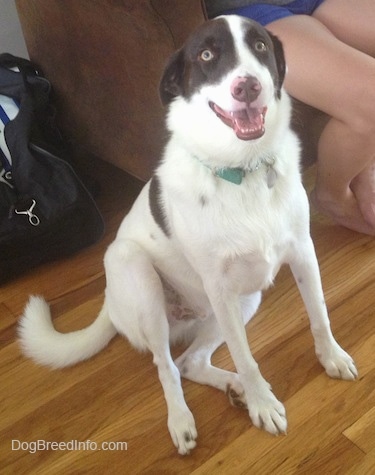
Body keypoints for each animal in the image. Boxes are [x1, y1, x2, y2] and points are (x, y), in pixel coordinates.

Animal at [18, 15, 358, 458]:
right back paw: (184, 420)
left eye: (260, 47)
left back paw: (234, 388)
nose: (247, 87)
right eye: (207, 55)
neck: (242, 168)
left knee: (189, 362)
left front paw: (331, 357)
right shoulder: (219, 285)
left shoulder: (302, 252)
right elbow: (246, 357)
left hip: (240, 303)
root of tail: (109, 304)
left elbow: (319, 314)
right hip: (136, 271)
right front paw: (262, 404)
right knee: (166, 366)